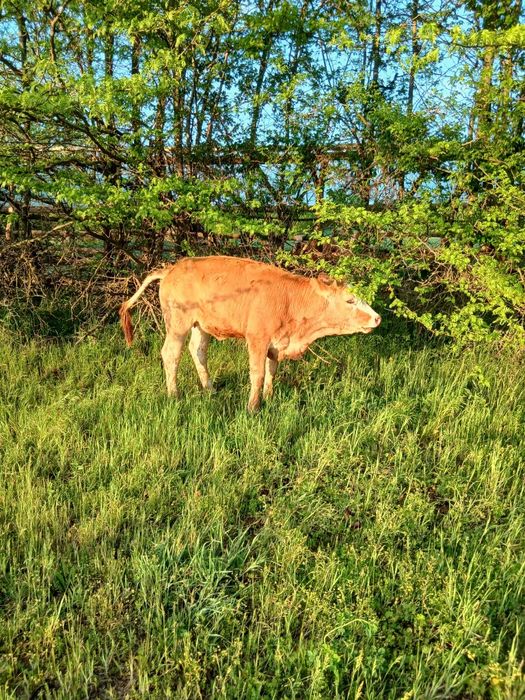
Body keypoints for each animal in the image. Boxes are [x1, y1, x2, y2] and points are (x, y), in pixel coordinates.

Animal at [119, 256, 381, 412]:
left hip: (200, 325)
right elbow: (257, 373)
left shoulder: (275, 343)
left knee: (198, 351)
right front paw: (253, 407)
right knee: (171, 354)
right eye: (350, 300)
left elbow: (271, 371)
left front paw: (269, 397)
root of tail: (172, 268)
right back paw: (174, 395)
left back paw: (210, 389)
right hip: (178, 324)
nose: (377, 318)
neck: (290, 300)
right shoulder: (257, 338)